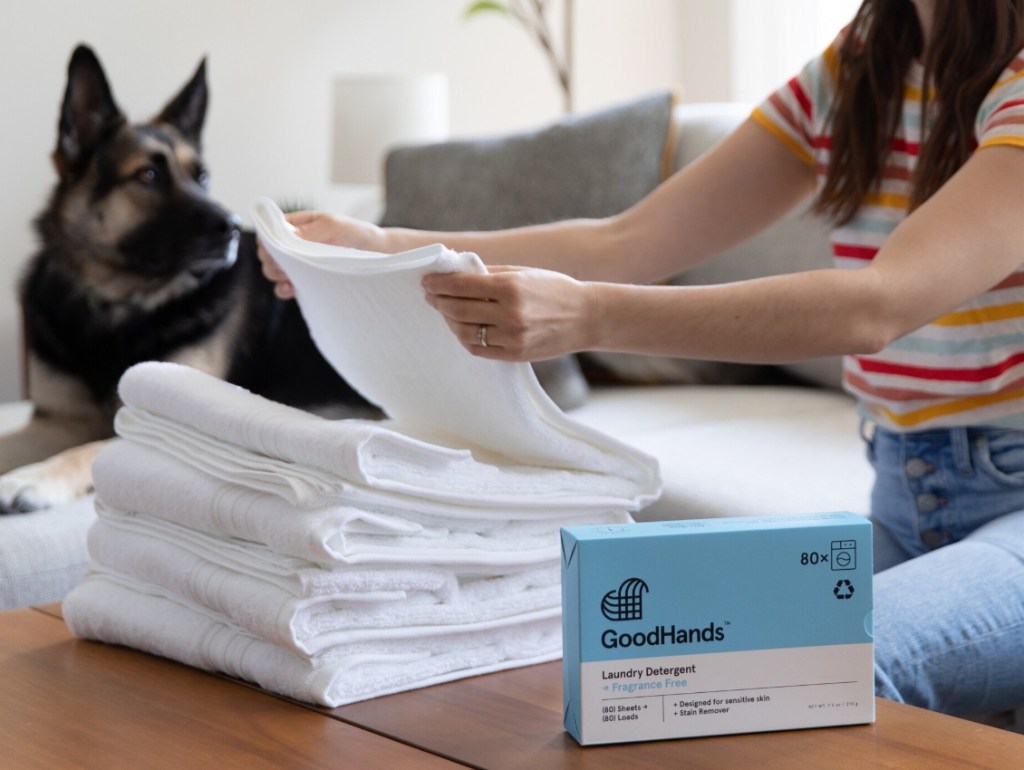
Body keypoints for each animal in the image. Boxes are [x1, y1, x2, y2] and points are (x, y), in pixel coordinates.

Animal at [0, 41, 372, 511]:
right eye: (149, 174)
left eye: (203, 177)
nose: (233, 228)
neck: (121, 306)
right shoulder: (57, 421)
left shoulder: (159, 417)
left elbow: (83, 451)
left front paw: (32, 477)